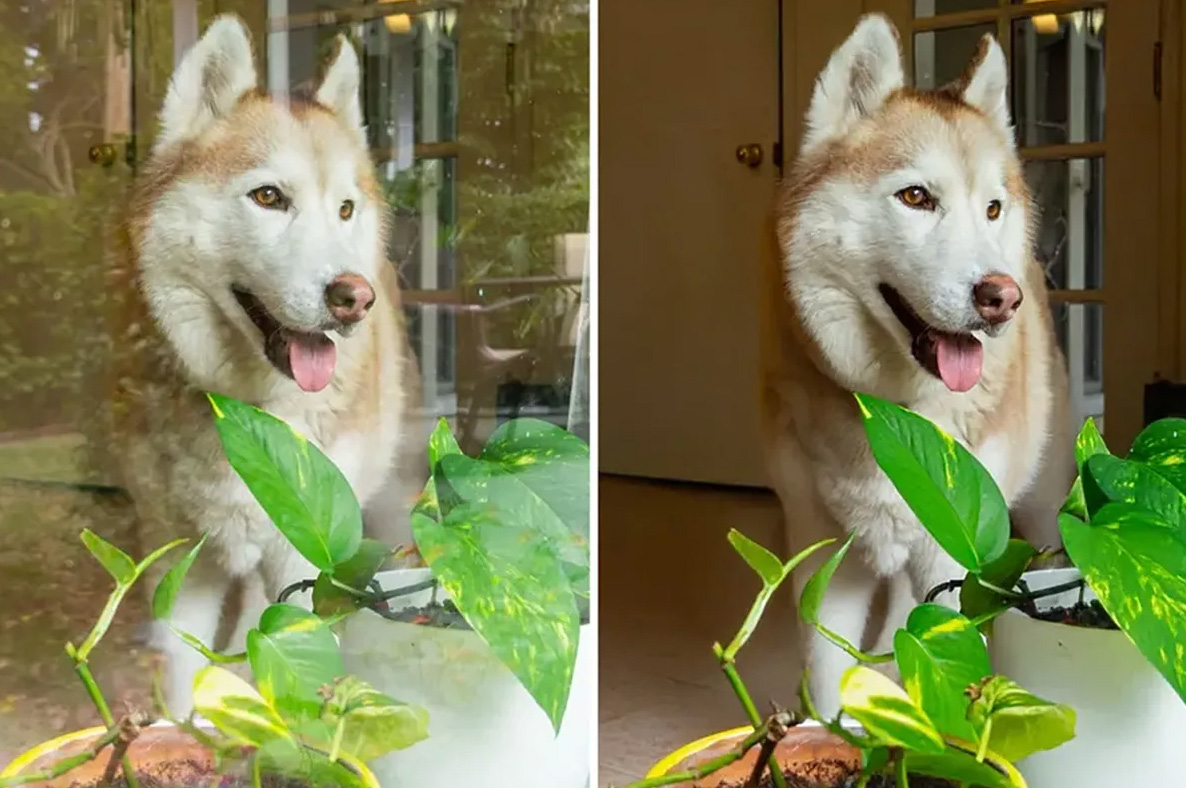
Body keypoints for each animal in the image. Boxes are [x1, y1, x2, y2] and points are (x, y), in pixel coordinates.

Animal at [104, 13, 424, 712]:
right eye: (270, 196)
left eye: (344, 209)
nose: (355, 297)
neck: (245, 413)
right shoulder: (179, 560)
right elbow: (181, 672)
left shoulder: (306, 554)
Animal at [763, 12, 1081, 712]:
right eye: (915, 196)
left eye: (991, 208)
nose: (1001, 298)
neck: (894, 413)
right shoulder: (825, 556)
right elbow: (827, 671)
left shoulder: (958, 546)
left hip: (1042, 502)